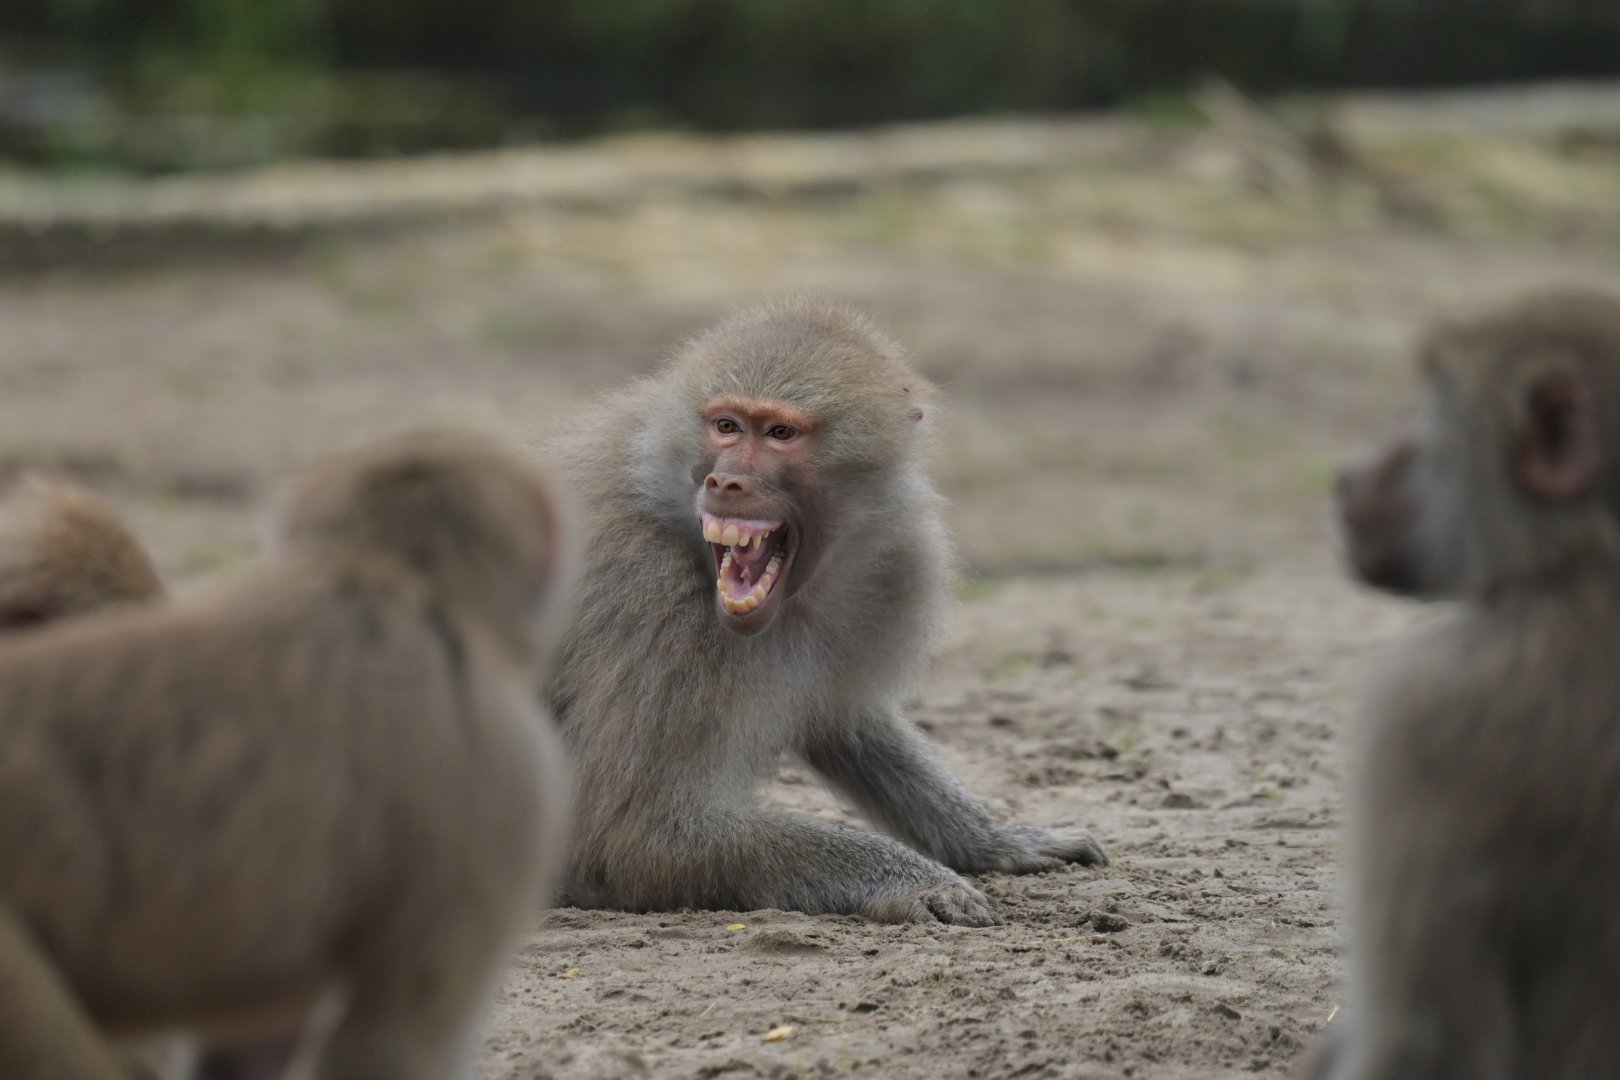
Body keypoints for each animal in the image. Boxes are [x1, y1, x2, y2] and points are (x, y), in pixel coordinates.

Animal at [543, 298, 1106, 928]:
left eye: (780, 433)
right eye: (726, 426)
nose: (725, 480)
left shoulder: (887, 570)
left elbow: (847, 724)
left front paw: (997, 841)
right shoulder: (654, 604)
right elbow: (640, 837)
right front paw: (918, 880)